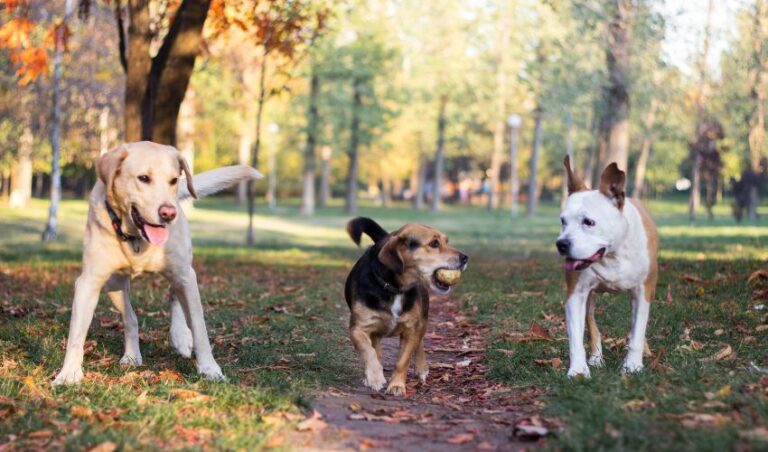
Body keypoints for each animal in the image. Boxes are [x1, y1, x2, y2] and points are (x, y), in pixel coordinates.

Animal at [54, 141, 262, 384]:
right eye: (143, 178)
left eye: (173, 180)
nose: (169, 213)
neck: (137, 239)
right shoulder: (89, 282)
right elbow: (77, 333)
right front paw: (69, 373)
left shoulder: (185, 274)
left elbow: (199, 326)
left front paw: (209, 368)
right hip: (114, 284)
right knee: (131, 318)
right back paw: (132, 355)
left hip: (181, 269)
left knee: (175, 294)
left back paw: (181, 335)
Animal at [344, 217, 464, 394]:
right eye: (434, 243)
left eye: (446, 241)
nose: (465, 258)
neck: (394, 288)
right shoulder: (358, 328)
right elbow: (369, 352)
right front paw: (374, 377)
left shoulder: (411, 330)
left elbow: (402, 361)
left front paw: (396, 385)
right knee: (376, 348)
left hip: (422, 320)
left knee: (420, 343)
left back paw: (421, 368)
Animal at [556, 157, 656, 376]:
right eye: (563, 221)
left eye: (589, 222)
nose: (561, 244)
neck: (612, 254)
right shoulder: (576, 295)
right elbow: (575, 338)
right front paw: (578, 370)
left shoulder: (642, 292)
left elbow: (637, 332)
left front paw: (633, 365)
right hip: (591, 298)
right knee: (592, 324)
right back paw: (595, 357)